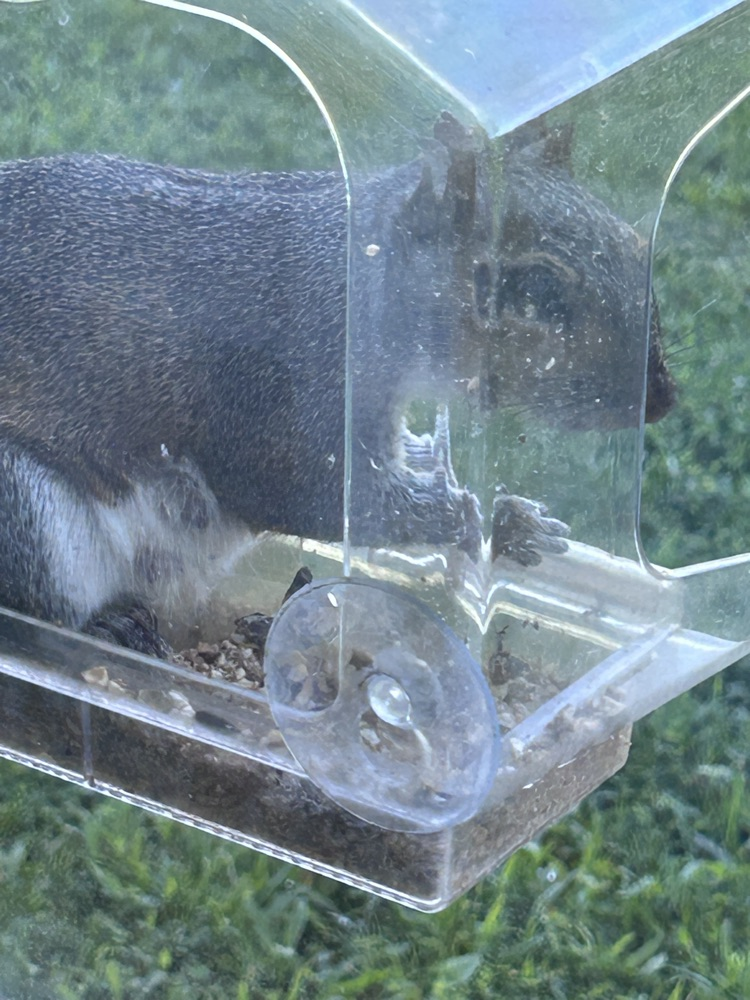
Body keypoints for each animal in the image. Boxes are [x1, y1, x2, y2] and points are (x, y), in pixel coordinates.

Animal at [0, 113, 674, 655]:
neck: (361, 281)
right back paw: (105, 628)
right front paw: (478, 519)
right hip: (23, 511)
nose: (663, 398)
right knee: (38, 607)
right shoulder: (283, 388)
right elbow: (313, 493)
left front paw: (508, 518)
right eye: (536, 292)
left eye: (636, 242)